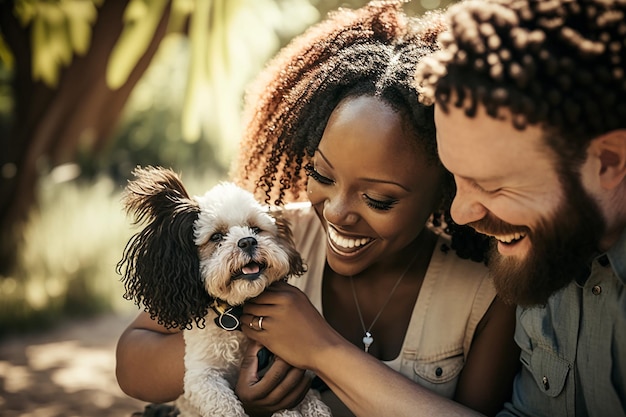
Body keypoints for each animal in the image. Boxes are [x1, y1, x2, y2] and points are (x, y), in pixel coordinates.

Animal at [117, 166, 332, 416]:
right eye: (217, 237)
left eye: (255, 229)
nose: (248, 241)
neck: (236, 311)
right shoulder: (202, 376)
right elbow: (227, 406)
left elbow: (305, 399)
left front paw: (313, 409)